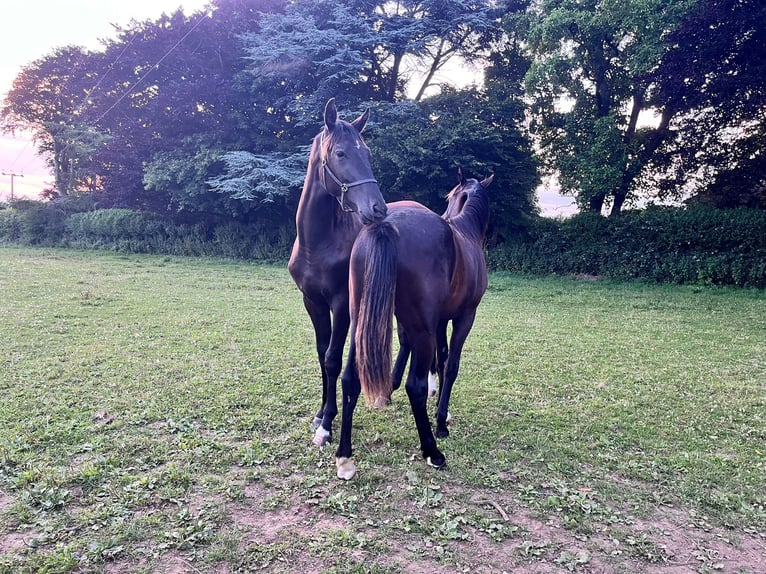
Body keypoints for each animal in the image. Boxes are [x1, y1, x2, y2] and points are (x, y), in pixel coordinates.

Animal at [338, 173, 496, 480]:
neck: (465, 232)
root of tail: (386, 226)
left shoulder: (439, 321)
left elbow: (441, 359)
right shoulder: (464, 317)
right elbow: (451, 365)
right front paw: (441, 422)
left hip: (359, 321)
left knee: (350, 378)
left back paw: (344, 456)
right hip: (422, 328)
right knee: (415, 386)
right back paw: (432, 452)